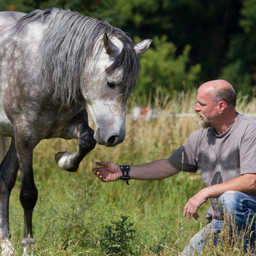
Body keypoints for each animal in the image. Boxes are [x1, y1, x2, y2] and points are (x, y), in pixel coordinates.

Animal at [0, 9, 152, 255]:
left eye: (131, 88)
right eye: (111, 83)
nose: (115, 137)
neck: (45, 70)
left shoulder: (65, 127)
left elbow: (87, 141)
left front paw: (64, 159)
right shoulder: (25, 136)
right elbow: (28, 194)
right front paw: (28, 245)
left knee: (4, 178)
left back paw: (5, 244)